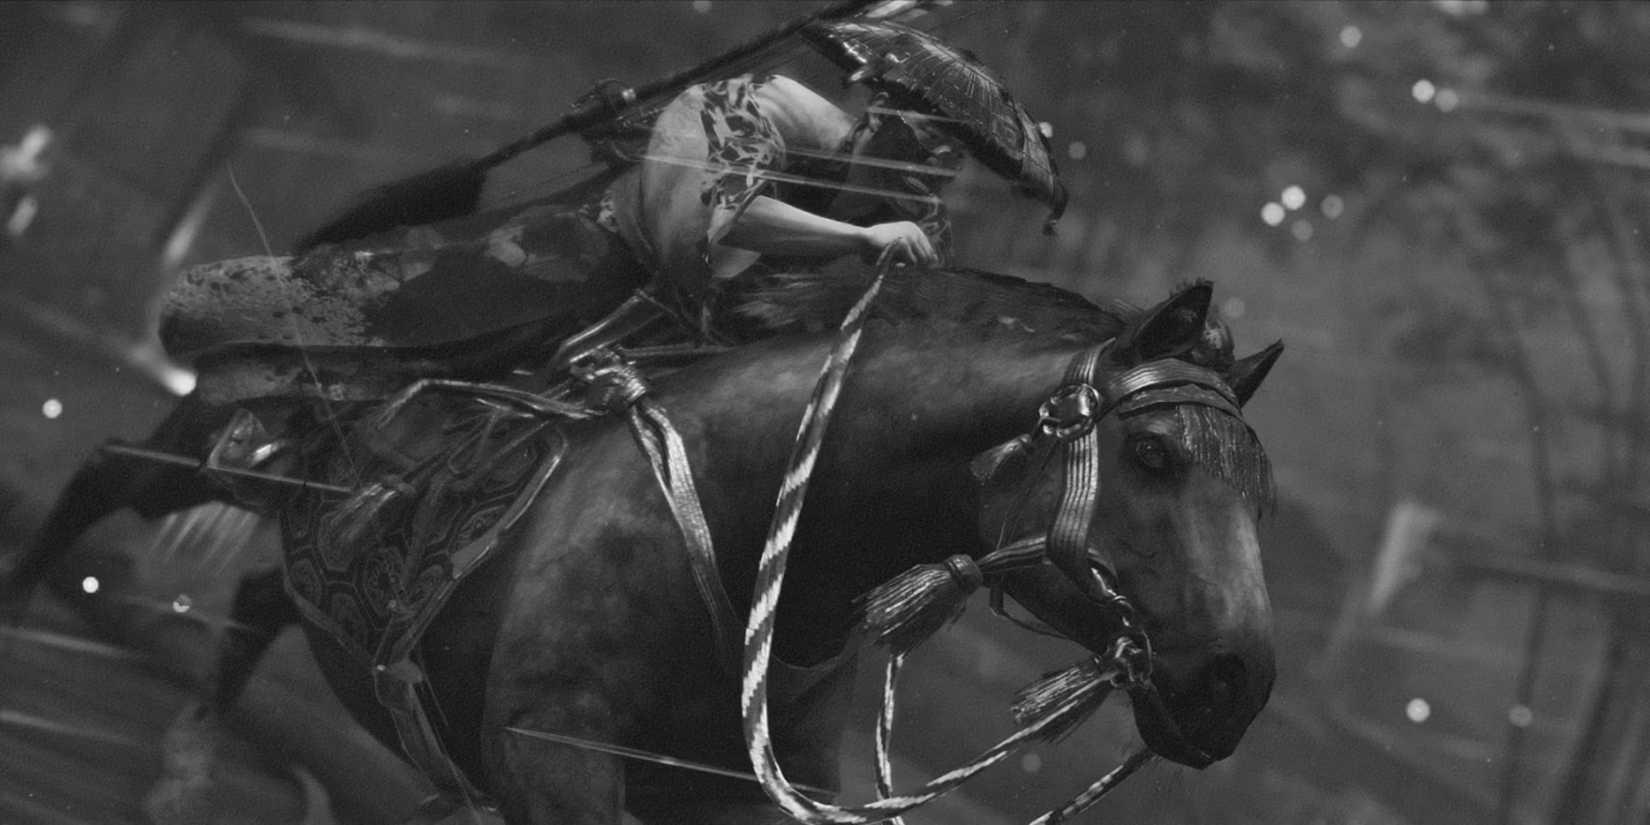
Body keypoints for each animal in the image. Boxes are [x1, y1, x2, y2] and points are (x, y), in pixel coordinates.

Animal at [5, 267, 1282, 825]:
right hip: (214, 443)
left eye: (1261, 497)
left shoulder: (754, 794)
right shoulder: (550, 757)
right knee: (110, 470)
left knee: (267, 596)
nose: (1236, 685)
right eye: (1153, 454)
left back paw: (184, 772)